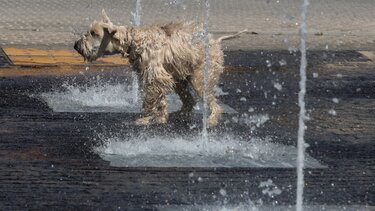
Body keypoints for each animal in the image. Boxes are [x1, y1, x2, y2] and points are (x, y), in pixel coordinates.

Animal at [75, 9, 248, 126]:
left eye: (94, 33)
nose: (76, 45)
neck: (133, 40)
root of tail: (216, 41)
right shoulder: (156, 77)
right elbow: (160, 99)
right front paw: (160, 117)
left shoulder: (156, 76)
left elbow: (150, 98)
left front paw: (147, 117)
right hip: (180, 79)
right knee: (189, 100)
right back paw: (180, 114)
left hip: (200, 79)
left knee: (213, 103)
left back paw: (211, 120)